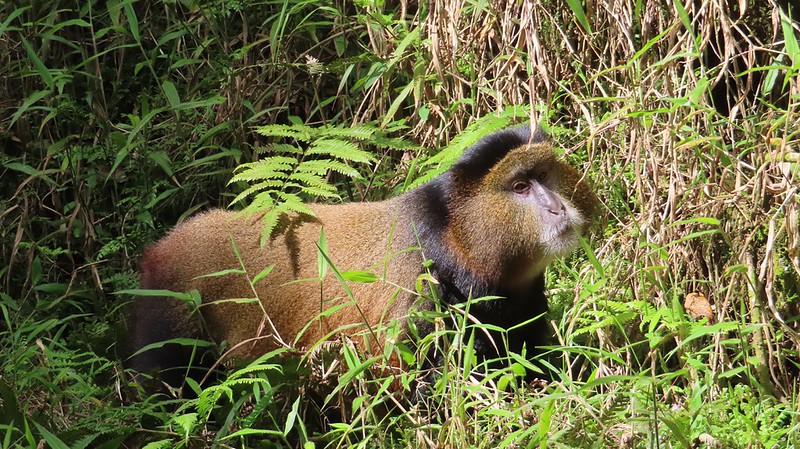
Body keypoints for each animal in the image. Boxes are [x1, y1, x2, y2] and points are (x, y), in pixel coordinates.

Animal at [129, 125, 597, 388]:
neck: (456, 237)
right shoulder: (422, 289)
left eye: (543, 176)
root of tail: (163, 249)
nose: (557, 207)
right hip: (169, 321)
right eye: (520, 187)